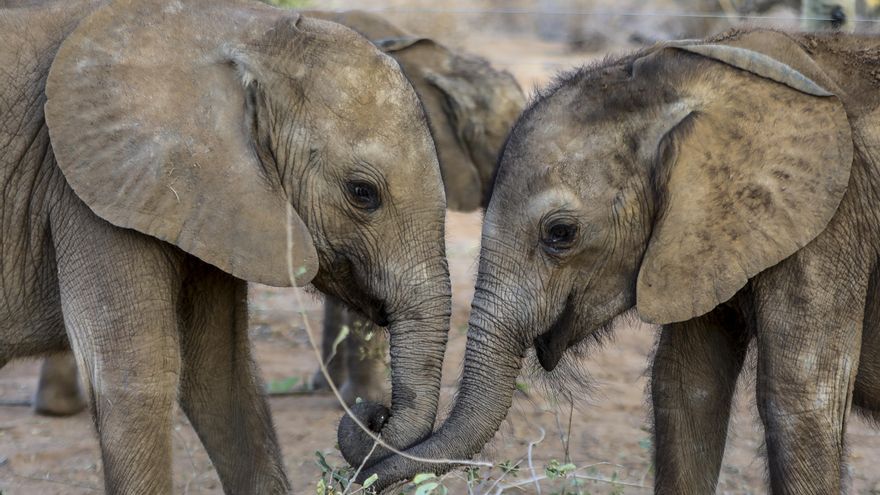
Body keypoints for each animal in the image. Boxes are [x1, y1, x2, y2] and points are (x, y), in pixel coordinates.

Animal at [1, 0, 452, 492]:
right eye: (363, 193)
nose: (375, 414)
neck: (242, 29)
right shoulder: (90, 191)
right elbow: (137, 378)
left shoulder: (210, 203)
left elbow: (221, 376)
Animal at [338, 29, 880, 493]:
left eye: (560, 234)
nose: (373, 413)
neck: (691, 70)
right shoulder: (699, 239)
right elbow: (687, 388)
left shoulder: (833, 221)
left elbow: (798, 400)